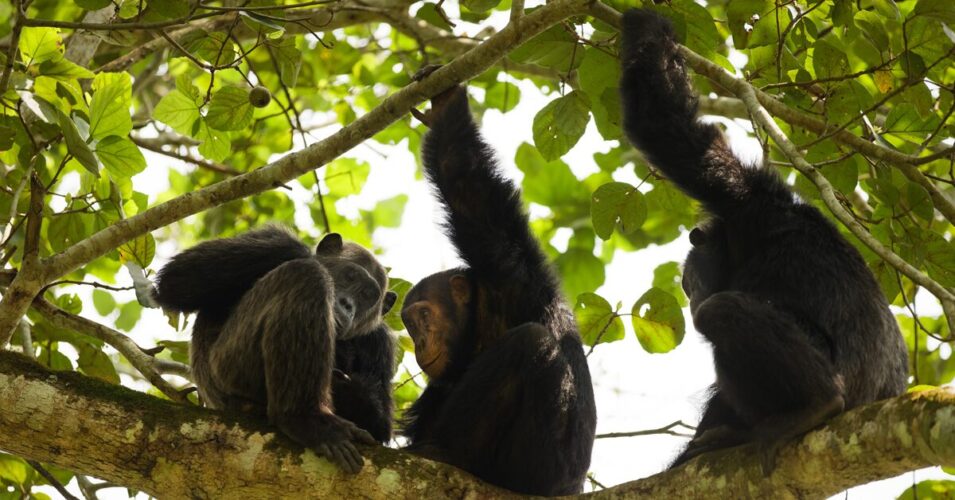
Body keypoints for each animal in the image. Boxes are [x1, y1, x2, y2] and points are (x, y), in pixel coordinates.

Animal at [153, 225, 398, 473]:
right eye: (350, 276)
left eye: (367, 295)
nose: (348, 304)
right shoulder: (272, 241)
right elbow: (178, 278)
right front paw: (306, 255)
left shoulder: (381, 342)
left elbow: (380, 425)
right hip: (229, 368)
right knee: (306, 275)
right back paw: (305, 419)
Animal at [399, 69, 598, 496]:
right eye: (407, 324)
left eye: (422, 317)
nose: (419, 341)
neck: (479, 317)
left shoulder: (506, 264)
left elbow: (463, 179)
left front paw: (446, 105)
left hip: (531, 470)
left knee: (530, 343)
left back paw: (443, 452)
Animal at [617, 9, 909, 469]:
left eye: (686, 283)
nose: (690, 296)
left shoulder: (741, 194)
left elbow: (665, 126)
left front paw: (646, 22)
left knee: (722, 313)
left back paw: (817, 404)